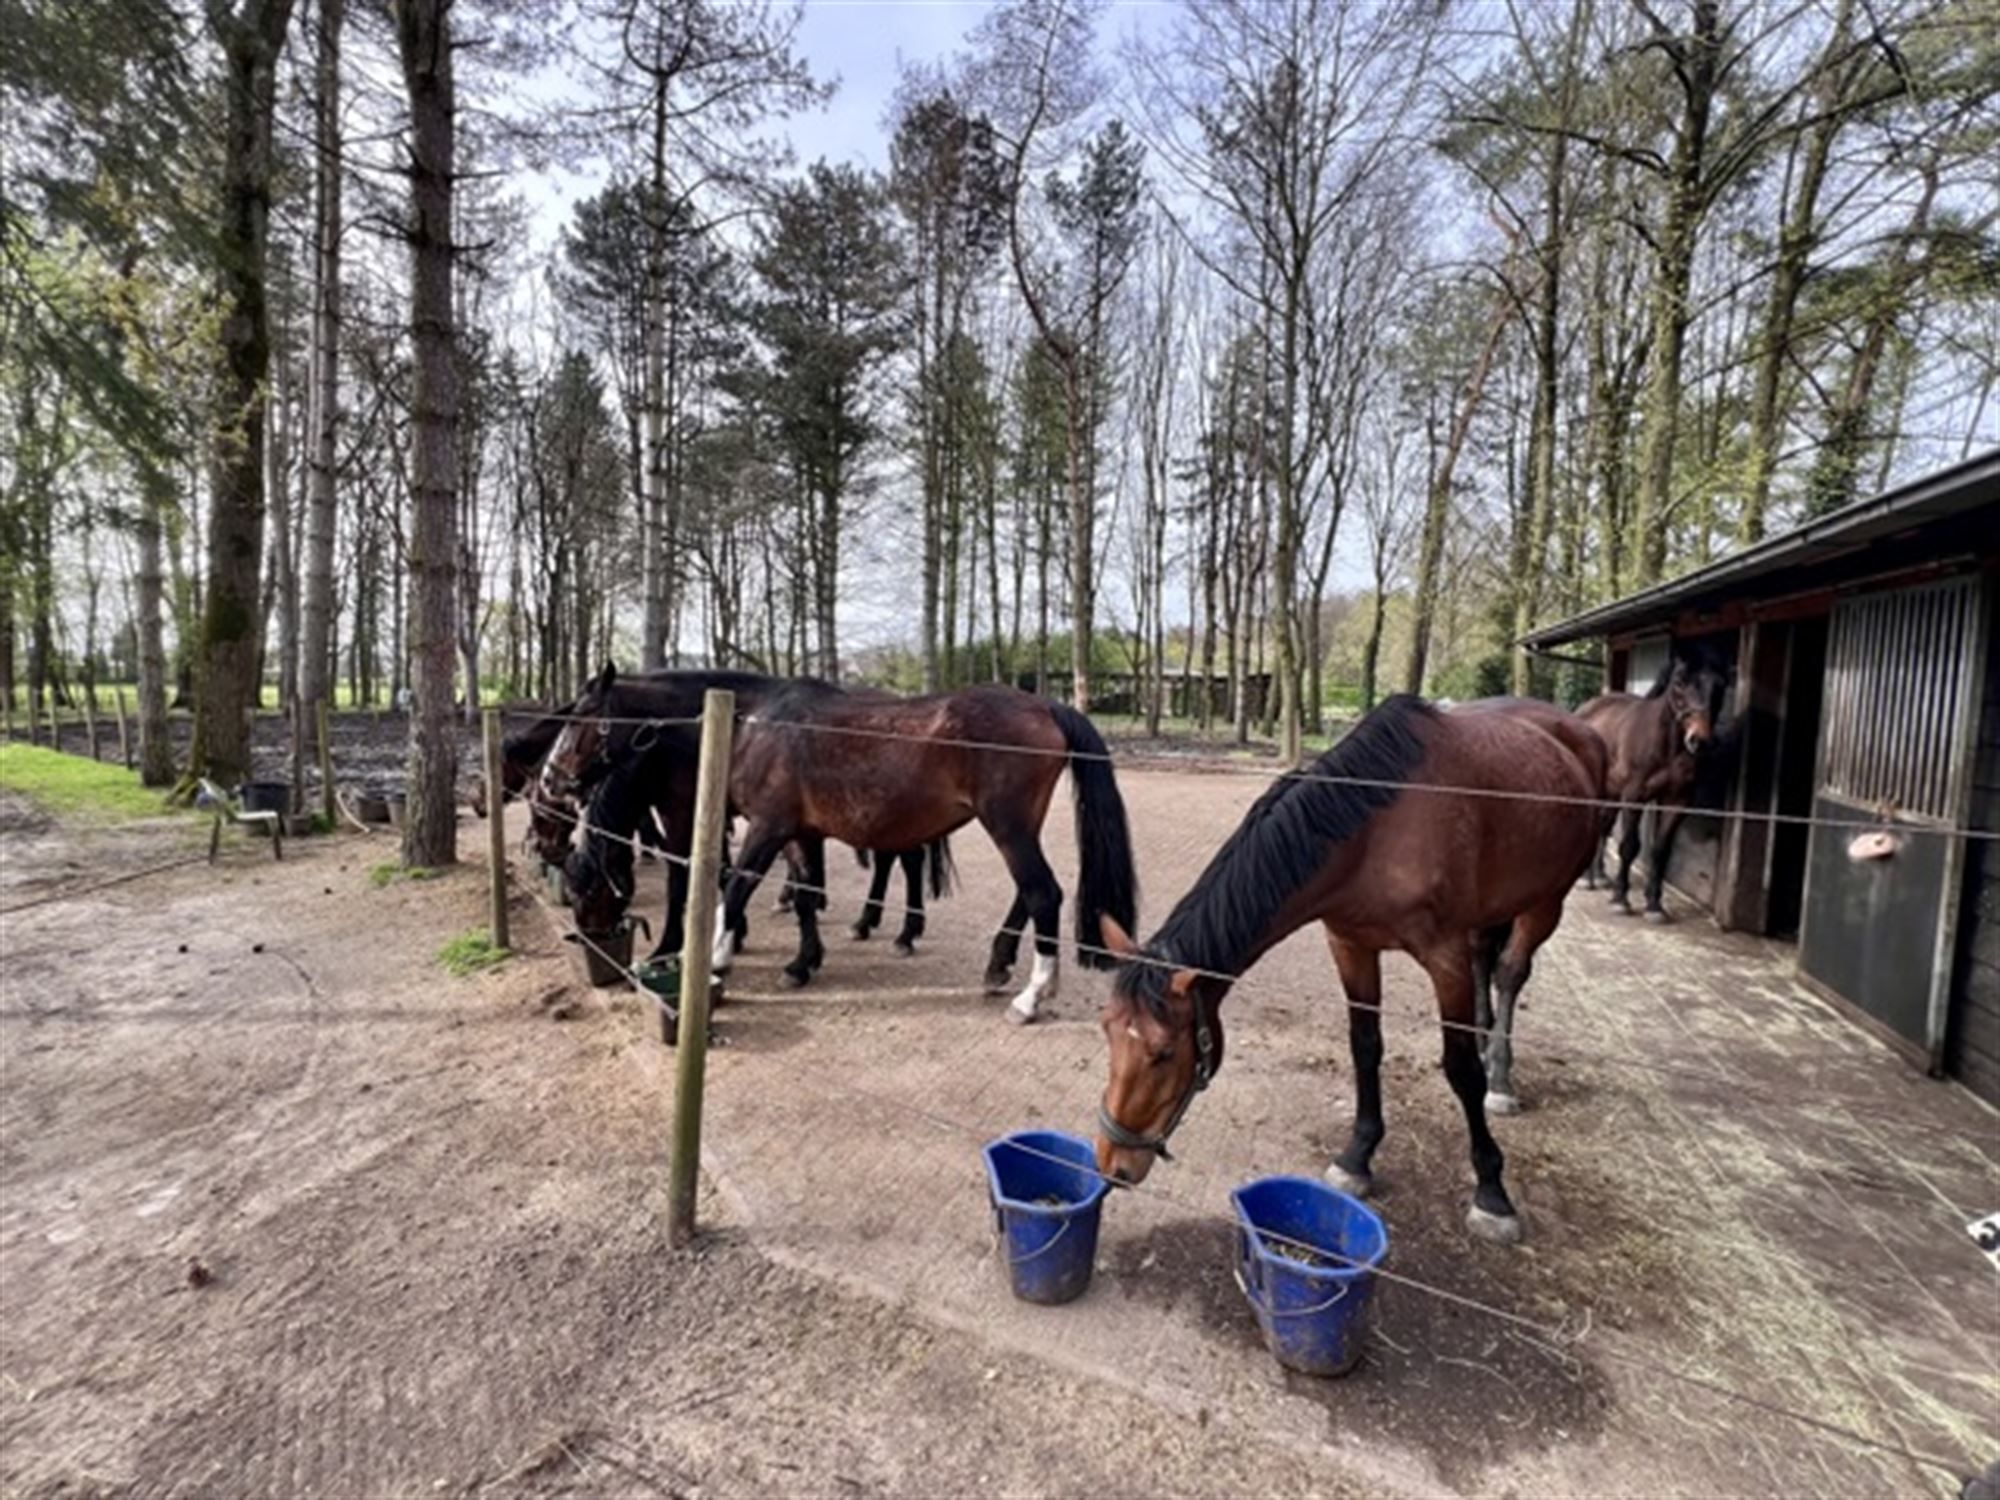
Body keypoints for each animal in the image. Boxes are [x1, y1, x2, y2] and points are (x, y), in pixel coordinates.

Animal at [700, 680, 1144, 1024]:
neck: (762, 723)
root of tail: (1046, 705)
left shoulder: (768, 827)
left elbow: (737, 888)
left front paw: (715, 964)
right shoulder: (802, 835)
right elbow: (805, 895)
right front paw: (801, 963)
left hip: (1009, 828)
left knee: (1042, 893)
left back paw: (1031, 998)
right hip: (1020, 831)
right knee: (1028, 892)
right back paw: (997, 966)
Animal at [1088, 700, 1600, 1248]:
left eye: (1163, 1054)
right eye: (1108, 1033)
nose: (1112, 1164)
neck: (1377, 829)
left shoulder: (1445, 958)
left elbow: (1461, 1069)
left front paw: (1491, 1192)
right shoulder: (1351, 946)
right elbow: (1365, 1046)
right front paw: (1357, 1157)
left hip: (1545, 903)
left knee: (1509, 973)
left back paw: (1500, 1078)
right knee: (1488, 959)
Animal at [1584, 648, 1728, 928]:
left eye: (1720, 686)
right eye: (1679, 682)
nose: (1700, 740)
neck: (1665, 746)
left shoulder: (1676, 801)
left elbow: (1661, 850)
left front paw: (1654, 905)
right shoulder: (1633, 797)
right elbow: (1629, 846)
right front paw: (1620, 899)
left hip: (1612, 792)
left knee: (1604, 826)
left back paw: (1600, 876)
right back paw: (1587, 879)